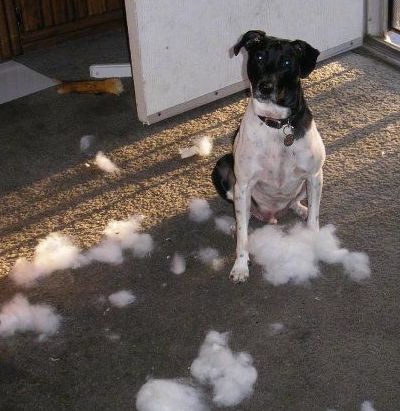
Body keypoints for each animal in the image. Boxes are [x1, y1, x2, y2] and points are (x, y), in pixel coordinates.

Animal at [212, 30, 324, 284]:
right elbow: (243, 238)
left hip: (310, 183)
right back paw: (236, 224)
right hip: (222, 168)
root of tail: (271, 215)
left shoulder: (314, 175)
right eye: (260, 57)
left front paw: (313, 238)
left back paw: (300, 209)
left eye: (287, 62)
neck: (278, 124)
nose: (265, 87)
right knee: (243, 214)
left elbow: (314, 218)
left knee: (297, 202)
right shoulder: (244, 184)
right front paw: (240, 266)